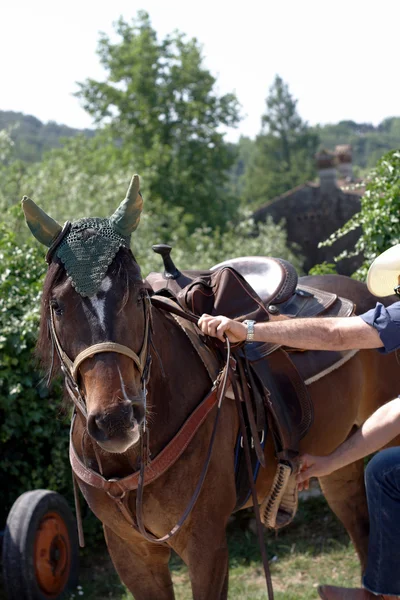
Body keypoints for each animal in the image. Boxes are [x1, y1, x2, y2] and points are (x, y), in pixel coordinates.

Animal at [25, 179, 400, 600]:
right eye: (57, 306)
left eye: (137, 295)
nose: (116, 420)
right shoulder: (131, 552)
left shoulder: (205, 543)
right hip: (340, 461)